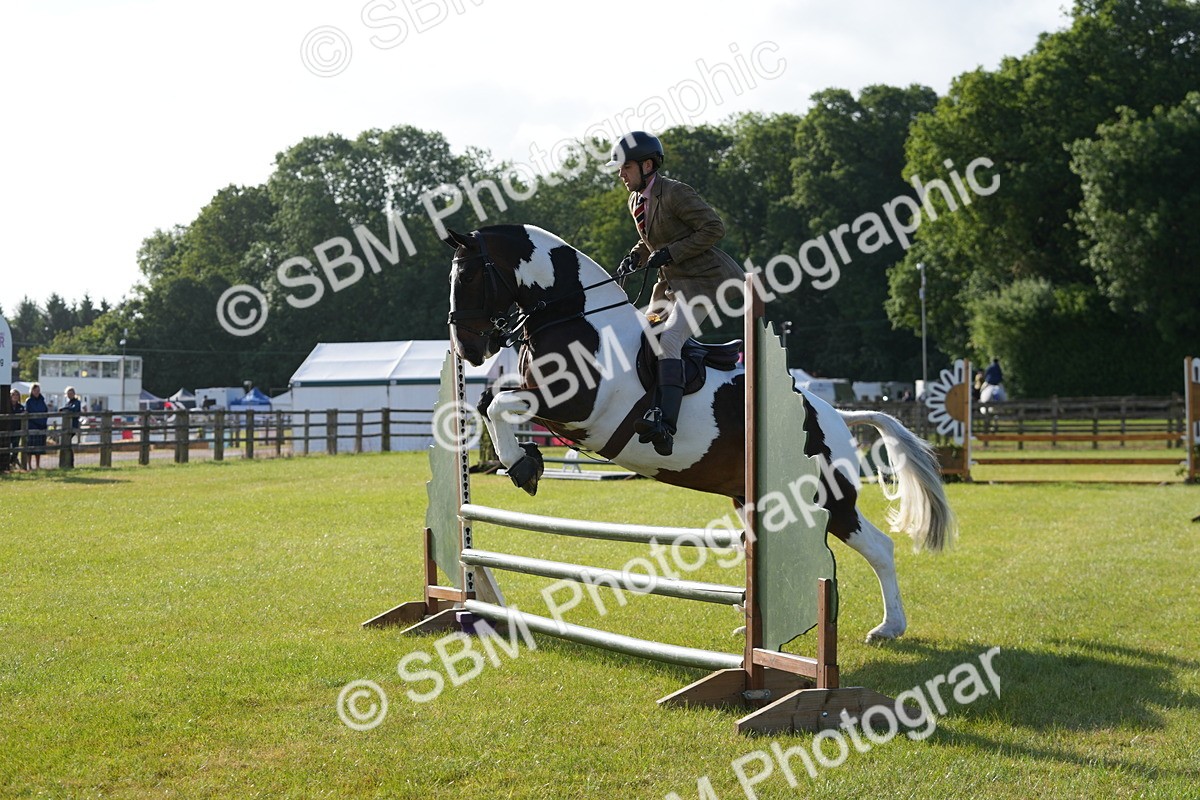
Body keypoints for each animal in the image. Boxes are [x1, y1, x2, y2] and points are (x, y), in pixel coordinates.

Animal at [444, 223, 956, 642]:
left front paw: (523, 466)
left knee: (880, 547)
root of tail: (834, 414)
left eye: (466, 276)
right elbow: (490, 402)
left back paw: (889, 628)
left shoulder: (575, 408)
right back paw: (755, 629)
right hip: (758, 500)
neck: (578, 321)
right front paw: (525, 460)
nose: (467, 349)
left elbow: (500, 404)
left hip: (830, 497)